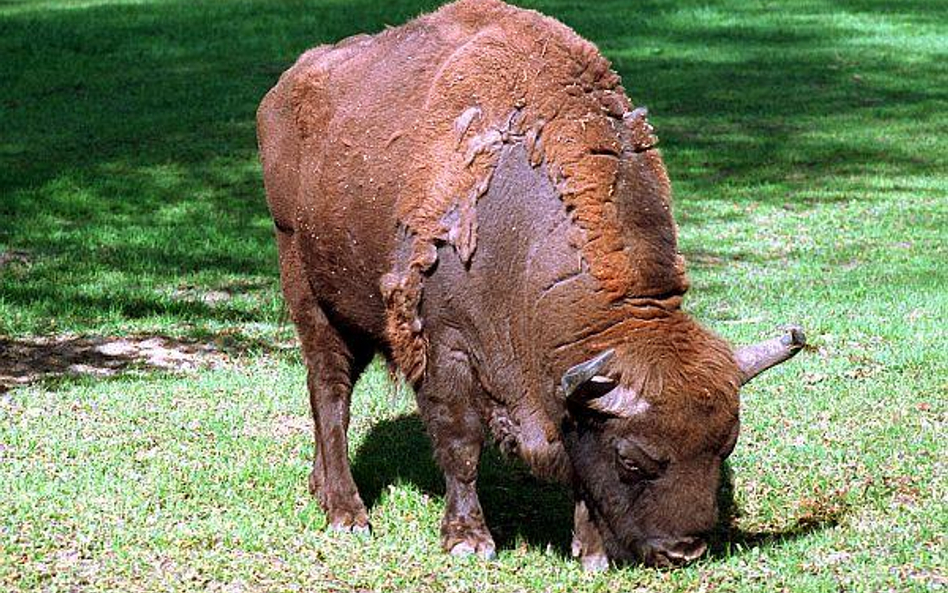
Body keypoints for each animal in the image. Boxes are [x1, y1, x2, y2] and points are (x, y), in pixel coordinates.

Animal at [256, 0, 804, 568]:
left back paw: (321, 491)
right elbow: (460, 444)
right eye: (633, 461)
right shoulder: (445, 349)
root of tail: (286, 88)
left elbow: (578, 466)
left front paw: (591, 552)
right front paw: (469, 541)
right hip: (310, 295)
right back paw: (347, 514)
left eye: (726, 447)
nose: (683, 551)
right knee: (330, 394)